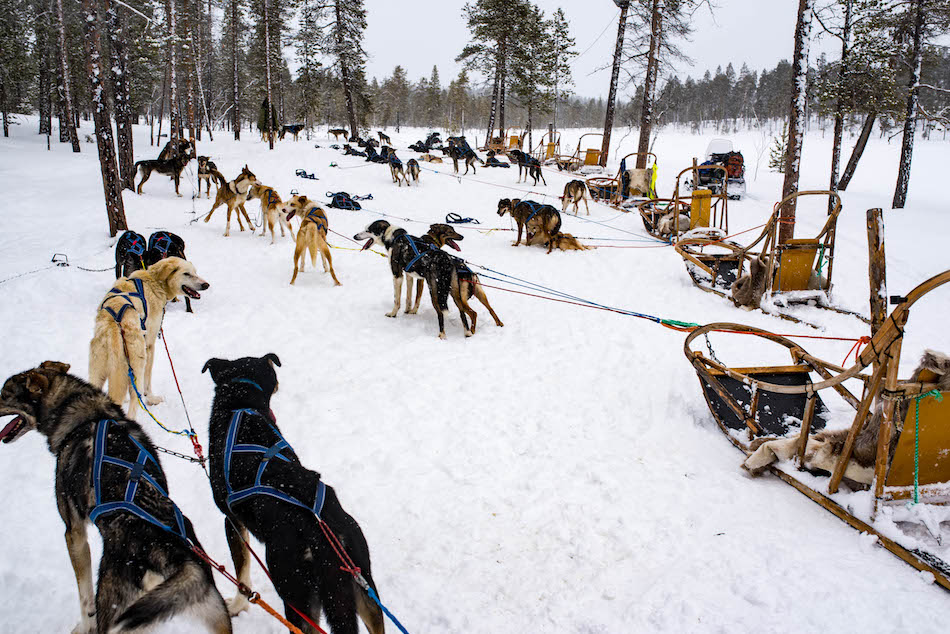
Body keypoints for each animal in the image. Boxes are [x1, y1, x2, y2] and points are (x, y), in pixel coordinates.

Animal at [0, 360, 231, 632]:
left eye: (4, 394)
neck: (86, 413)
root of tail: (168, 554)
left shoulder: (73, 533)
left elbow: (85, 597)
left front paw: (83, 626)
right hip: (214, 613)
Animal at [202, 354, 386, 628]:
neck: (241, 407)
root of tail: (322, 535)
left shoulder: (232, 520)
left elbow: (242, 573)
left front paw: (236, 606)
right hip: (364, 588)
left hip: (296, 597)